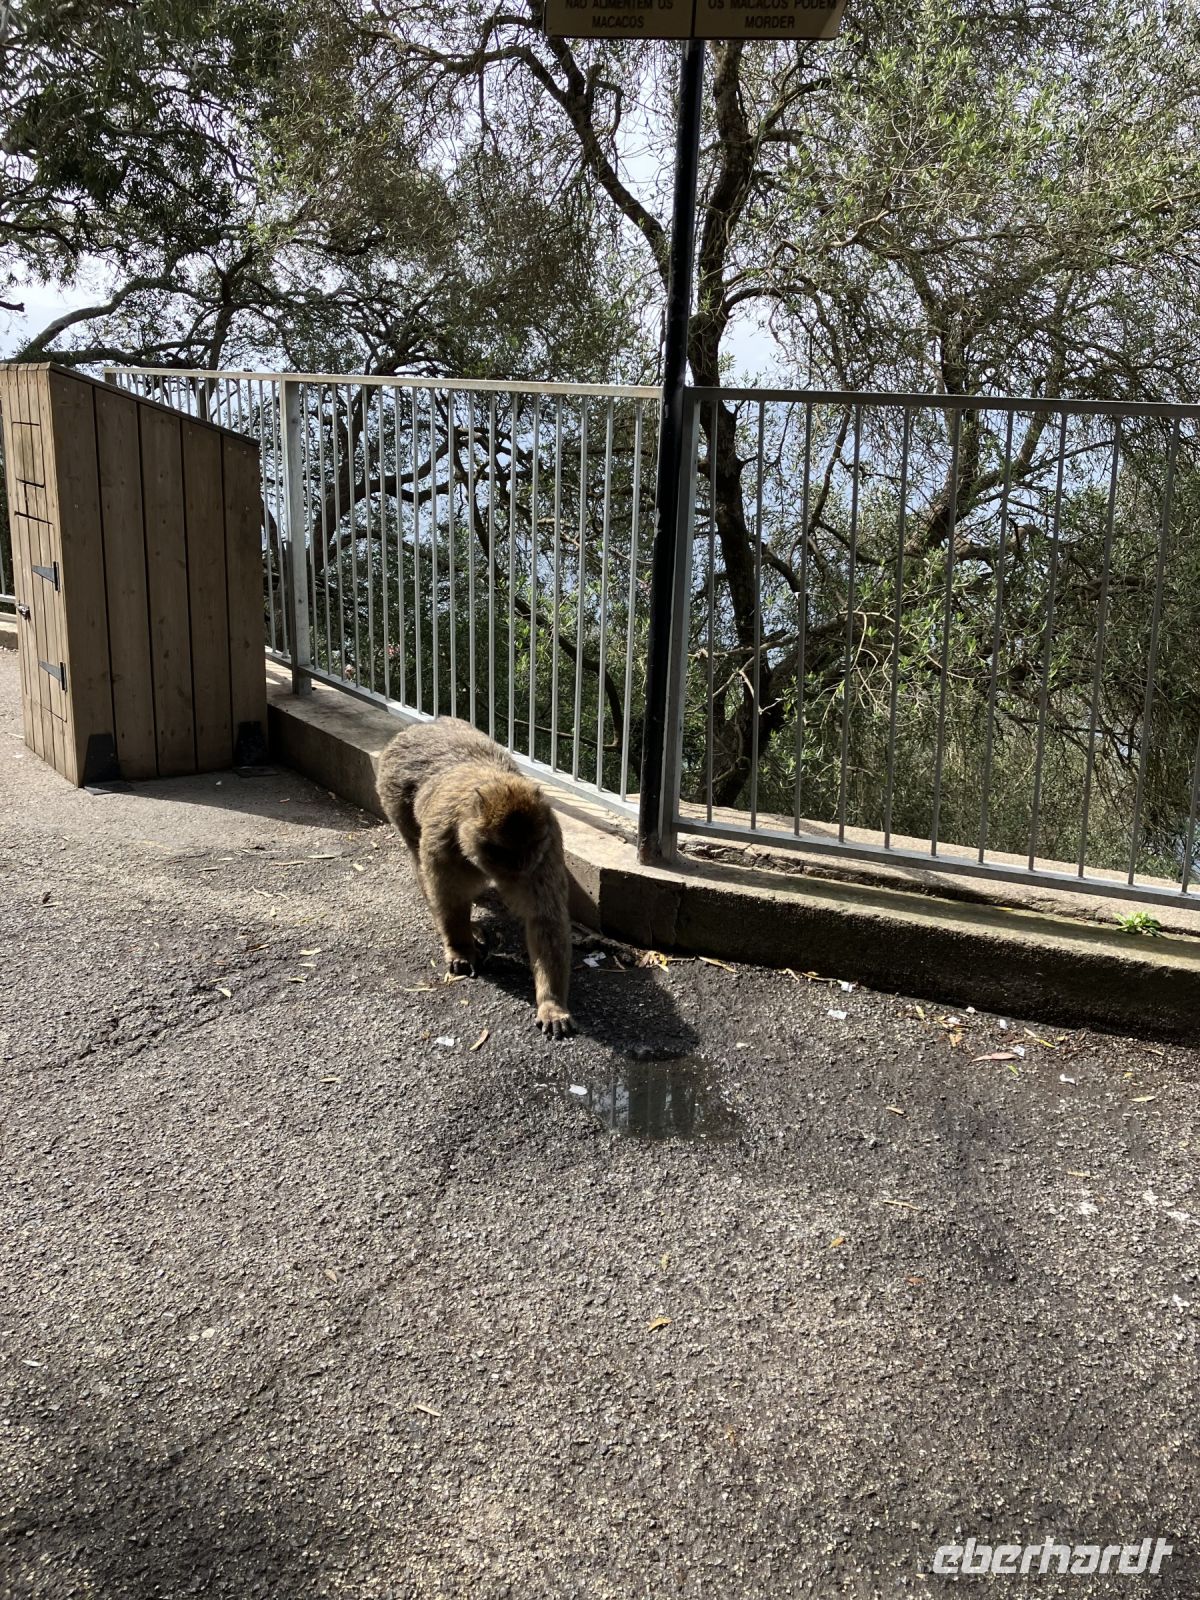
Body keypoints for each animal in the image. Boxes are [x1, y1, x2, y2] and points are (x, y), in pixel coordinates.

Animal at [376, 718, 575, 1038]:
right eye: (504, 849)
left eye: (530, 844)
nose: (522, 864)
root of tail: (419, 726)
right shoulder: (444, 843)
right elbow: (449, 896)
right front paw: (459, 945)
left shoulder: (548, 848)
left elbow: (545, 917)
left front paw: (552, 1003)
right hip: (393, 794)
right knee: (419, 861)